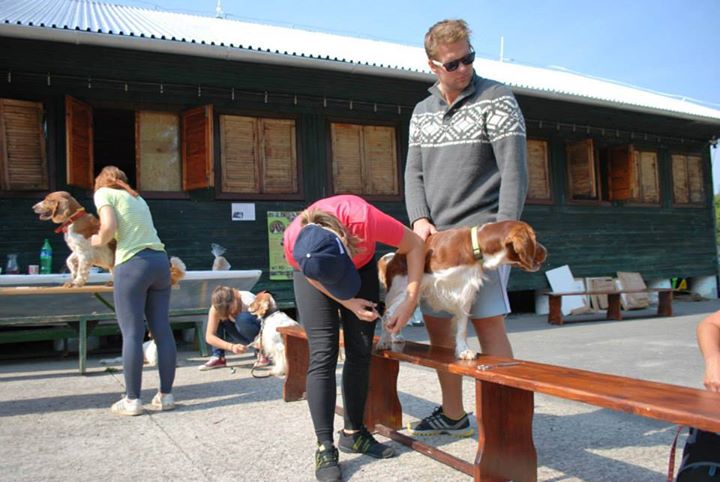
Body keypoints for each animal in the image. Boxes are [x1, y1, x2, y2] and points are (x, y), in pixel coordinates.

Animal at [376, 220, 544, 360]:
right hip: (401, 291)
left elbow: (462, 327)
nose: (546, 251)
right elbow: (388, 315)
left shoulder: (464, 294)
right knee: (388, 314)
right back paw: (385, 341)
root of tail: (393, 258)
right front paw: (383, 341)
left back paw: (396, 337)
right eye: (534, 238)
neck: (473, 246)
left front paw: (464, 350)